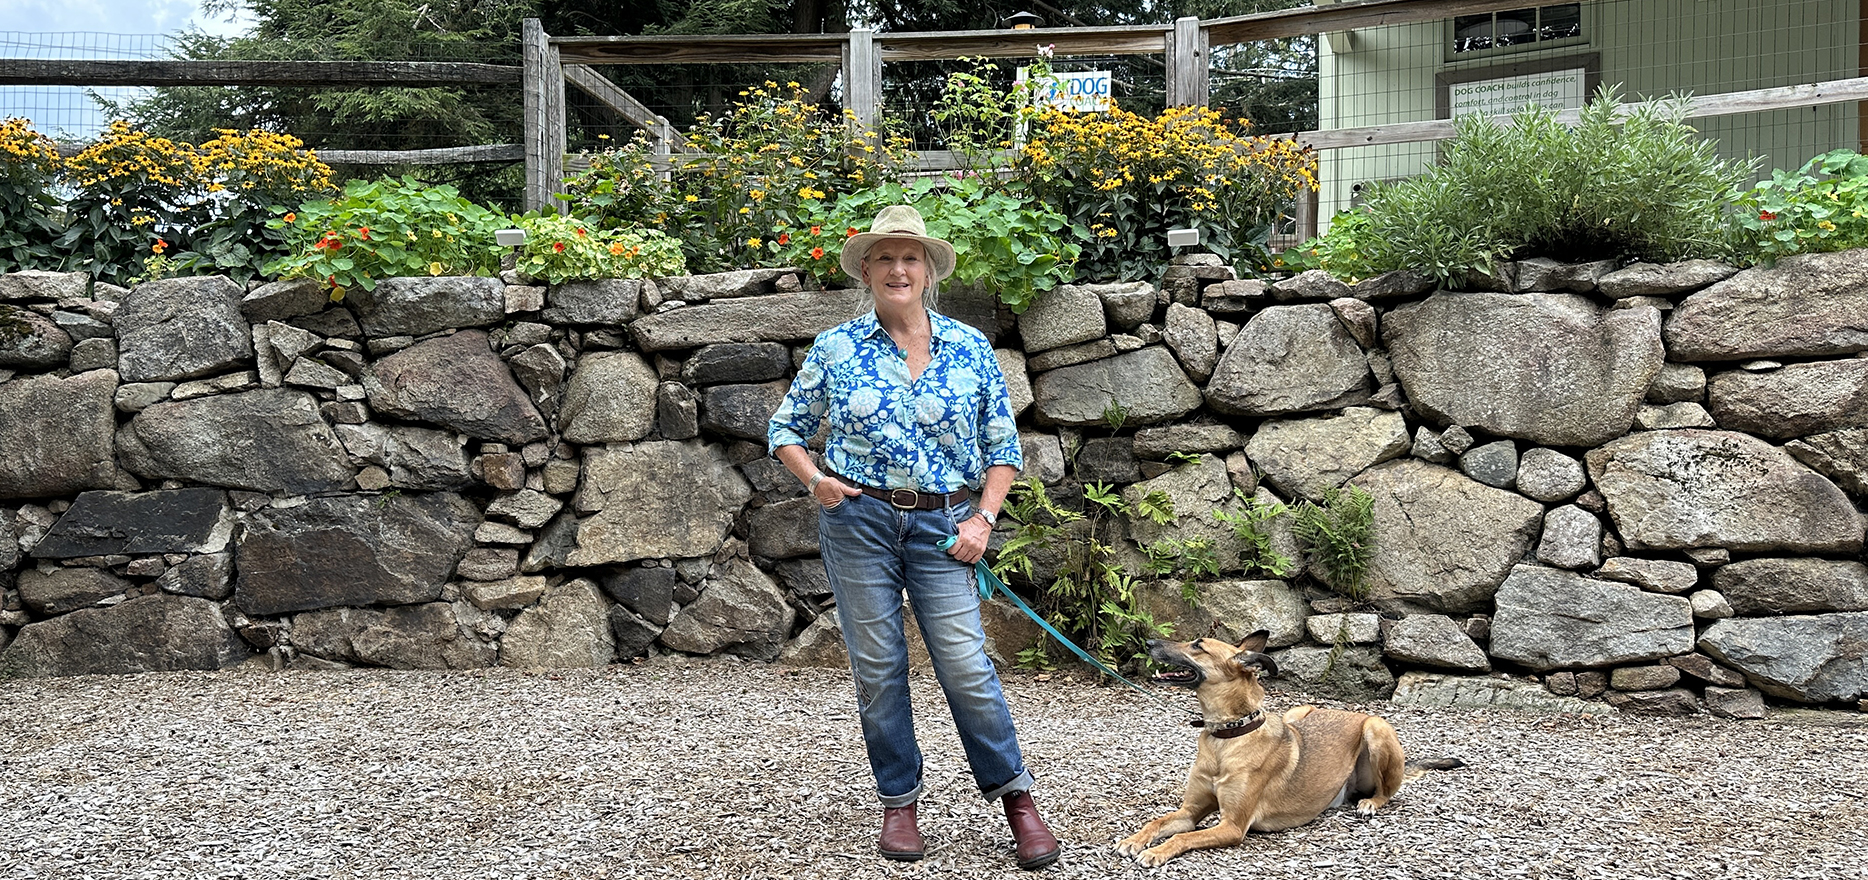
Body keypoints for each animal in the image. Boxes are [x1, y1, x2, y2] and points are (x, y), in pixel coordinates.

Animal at [1105, 635, 1457, 866]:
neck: (1227, 737)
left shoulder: (1233, 826)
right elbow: (1157, 822)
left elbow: (1182, 837)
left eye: (1197, 645)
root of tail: (1350, 712)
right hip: (1296, 713)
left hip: (1376, 727)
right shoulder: (1191, 811)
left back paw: (1370, 803)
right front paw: (1134, 840)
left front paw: (1155, 851)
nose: (1148, 641)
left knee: (1387, 792)